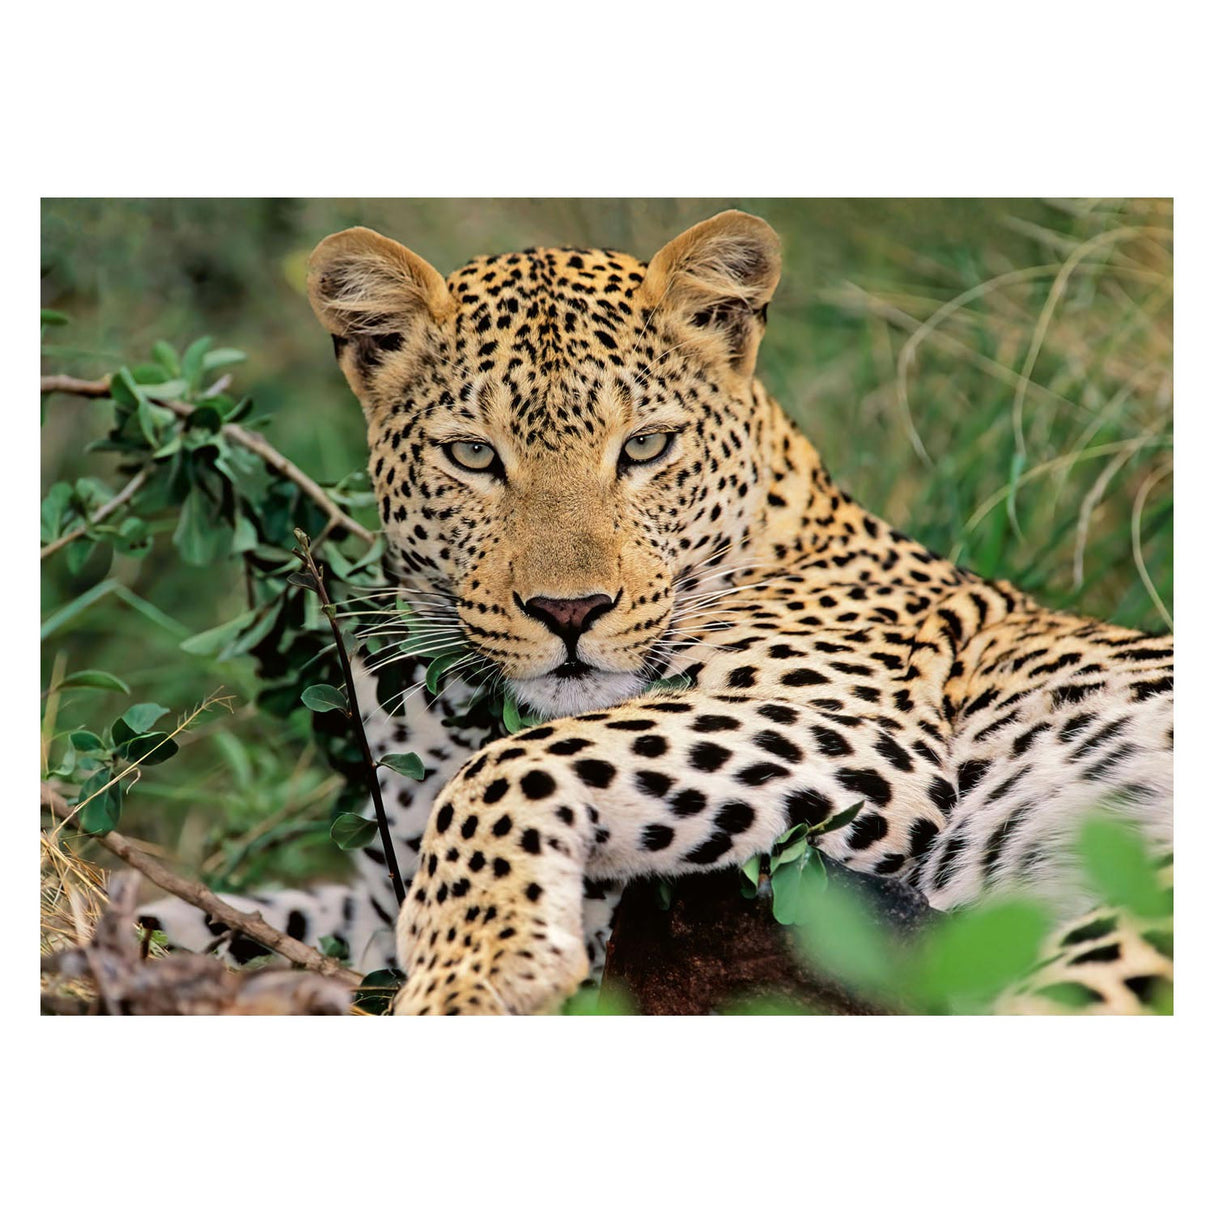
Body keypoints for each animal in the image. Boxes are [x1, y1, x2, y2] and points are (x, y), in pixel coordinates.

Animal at [141, 210, 1174, 1015]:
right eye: (473, 455)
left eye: (644, 447)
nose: (568, 611)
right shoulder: (375, 887)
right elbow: (235, 911)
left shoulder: (863, 733)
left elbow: (514, 765)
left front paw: (476, 968)